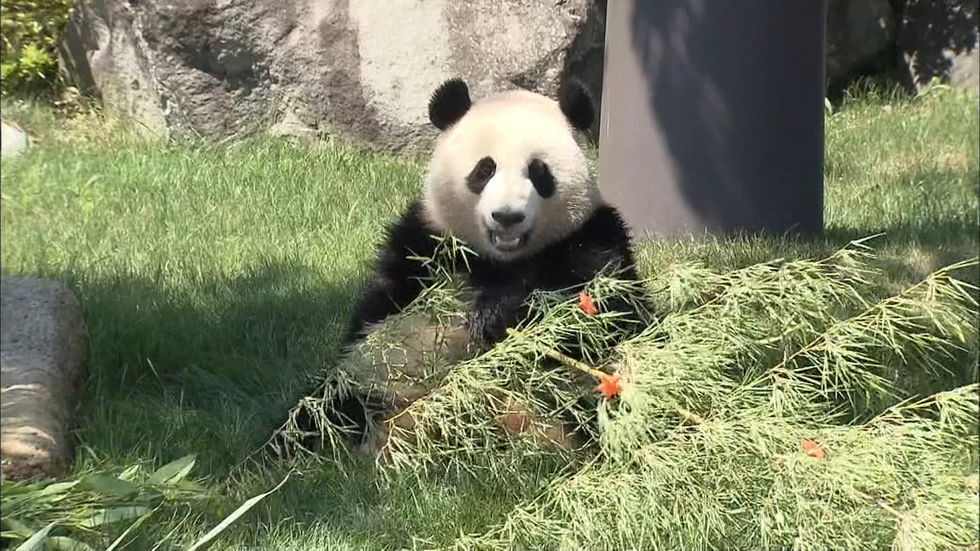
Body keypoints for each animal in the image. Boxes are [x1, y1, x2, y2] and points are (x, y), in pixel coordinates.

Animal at [273, 77, 646, 459]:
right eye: (485, 170)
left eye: (538, 172)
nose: (507, 216)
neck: (499, 260)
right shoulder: (422, 246)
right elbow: (378, 315)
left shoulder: (592, 237)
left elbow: (598, 309)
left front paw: (494, 313)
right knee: (329, 403)